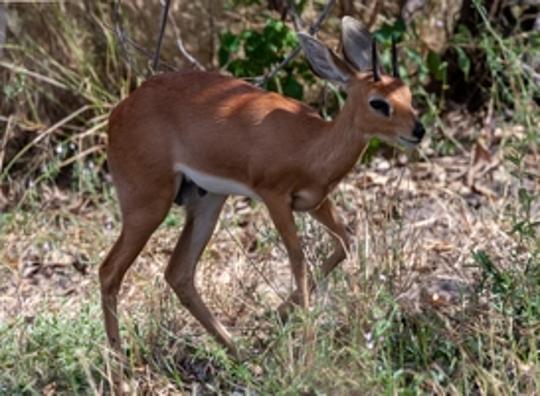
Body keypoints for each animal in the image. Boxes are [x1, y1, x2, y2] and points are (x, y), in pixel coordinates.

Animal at [99, 16, 424, 358]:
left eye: (408, 95)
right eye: (379, 103)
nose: (418, 131)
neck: (311, 145)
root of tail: (120, 110)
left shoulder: (316, 202)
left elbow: (345, 241)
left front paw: (278, 315)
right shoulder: (275, 198)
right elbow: (298, 259)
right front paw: (306, 349)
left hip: (208, 201)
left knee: (179, 273)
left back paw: (239, 353)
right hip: (148, 205)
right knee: (109, 271)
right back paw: (120, 365)